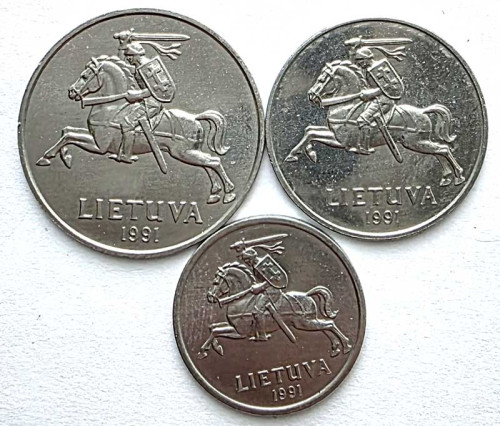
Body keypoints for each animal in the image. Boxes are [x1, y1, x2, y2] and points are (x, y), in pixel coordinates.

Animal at [36, 55, 236, 204]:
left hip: (183, 153)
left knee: (214, 162)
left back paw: (229, 193)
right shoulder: (94, 138)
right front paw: (63, 157)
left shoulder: (100, 146)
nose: (71, 92)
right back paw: (214, 193)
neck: (111, 106)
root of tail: (195, 118)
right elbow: (67, 131)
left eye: (85, 76)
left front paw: (48, 157)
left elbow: (69, 135)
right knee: (208, 164)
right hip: (190, 152)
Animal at [197, 263, 352, 359]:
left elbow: (216, 331)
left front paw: (203, 351)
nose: (209, 297)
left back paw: (346, 346)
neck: (242, 299)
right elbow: (213, 327)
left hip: (304, 323)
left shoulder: (241, 332)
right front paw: (216, 348)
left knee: (330, 324)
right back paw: (336, 348)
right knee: (326, 326)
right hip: (309, 321)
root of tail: (307, 295)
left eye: (216, 281)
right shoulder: (234, 327)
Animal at [285, 60, 465, 187]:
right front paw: (307, 153)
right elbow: (310, 130)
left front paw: (295, 154)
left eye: (322, 79)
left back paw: (459, 176)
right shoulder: (333, 135)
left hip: (416, 142)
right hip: (420, 142)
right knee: (439, 152)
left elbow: (311, 133)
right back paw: (446, 178)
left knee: (444, 149)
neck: (345, 105)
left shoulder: (341, 141)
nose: (311, 96)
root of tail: (423, 112)